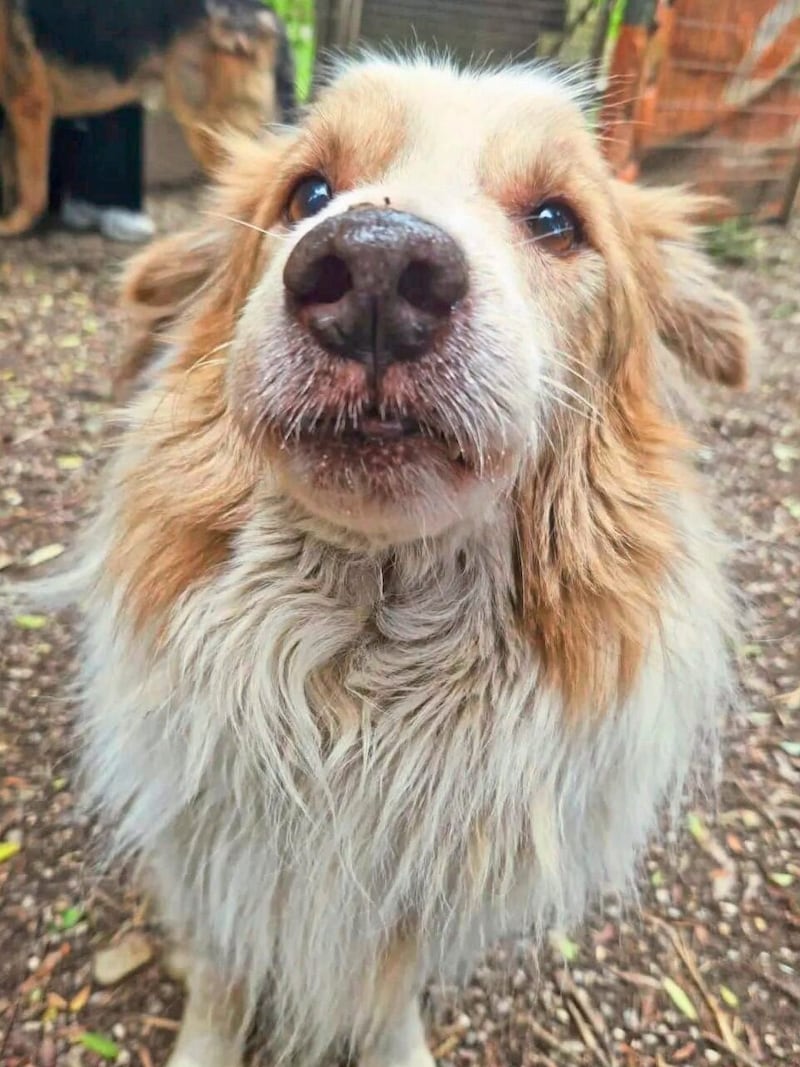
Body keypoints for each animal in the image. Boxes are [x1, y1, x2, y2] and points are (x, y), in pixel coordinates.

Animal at [68, 56, 759, 1067]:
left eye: (557, 219)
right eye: (309, 193)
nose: (377, 270)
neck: (362, 669)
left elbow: (388, 989)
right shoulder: (207, 852)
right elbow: (224, 973)